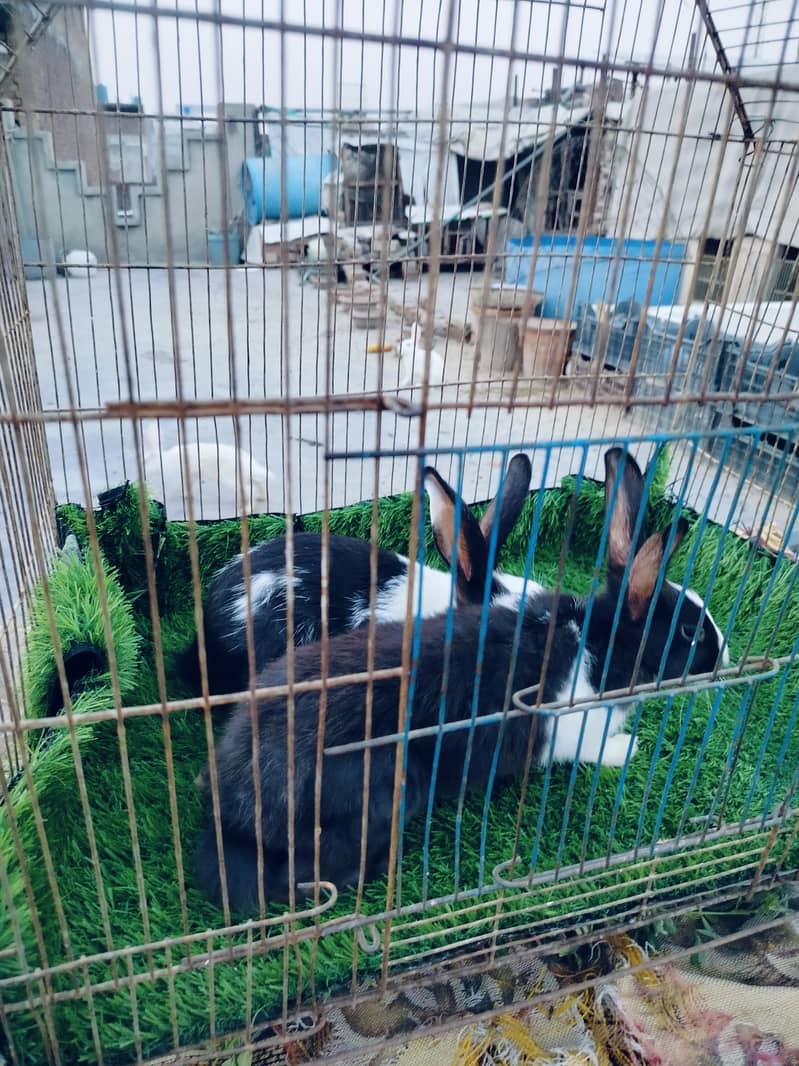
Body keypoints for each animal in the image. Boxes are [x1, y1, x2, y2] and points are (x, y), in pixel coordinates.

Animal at [142, 425, 272, 520]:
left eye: (145, 460)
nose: (143, 470)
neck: (161, 459)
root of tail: (246, 461)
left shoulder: (175, 478)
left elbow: (169, 490)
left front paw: (153, 497)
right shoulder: (190, 475)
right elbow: (187, 486)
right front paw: (187, 496)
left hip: (230, 478)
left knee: (250, 489)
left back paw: (248, 508)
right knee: (258, 482)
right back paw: (262, 497)